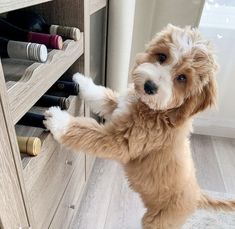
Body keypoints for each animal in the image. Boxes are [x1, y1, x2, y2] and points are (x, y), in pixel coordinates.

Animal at [43, 24, 235, 228]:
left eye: (182, 78)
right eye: (162, 57)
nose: (149, 87)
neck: (161, 111)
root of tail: (198, 195)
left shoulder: (121, 141)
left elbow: (87, 132)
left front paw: (58, 119)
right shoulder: (119, 106)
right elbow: (101, 95)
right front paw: (81, 80)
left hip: (160, 220)